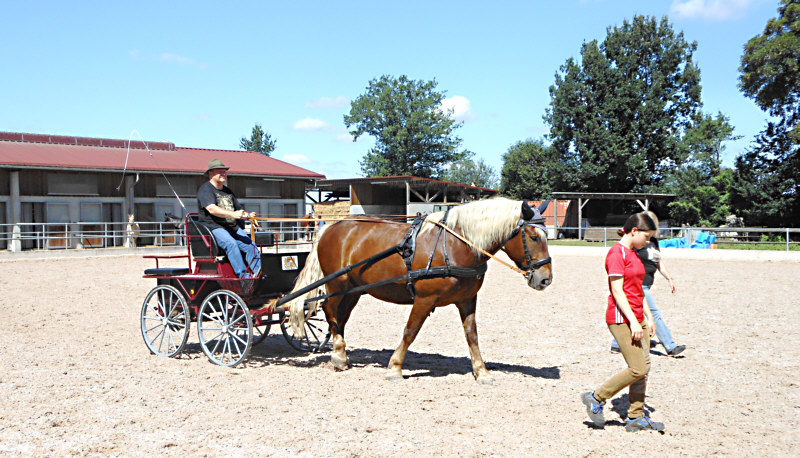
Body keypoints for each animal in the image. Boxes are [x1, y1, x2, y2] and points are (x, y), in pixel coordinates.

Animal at [284, 197, 552, 382]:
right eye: (533, 236)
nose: (545, 279)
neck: (454, 245)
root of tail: (331, 227)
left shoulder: (467, 299)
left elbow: (472, 335)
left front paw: (481, 371)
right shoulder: (425, 298)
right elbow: (410, 331)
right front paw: (395, 367)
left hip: (354, 290)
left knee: (340, 318)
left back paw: (340, 353)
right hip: (337, 285)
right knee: (329, 310)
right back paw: (339, 355)